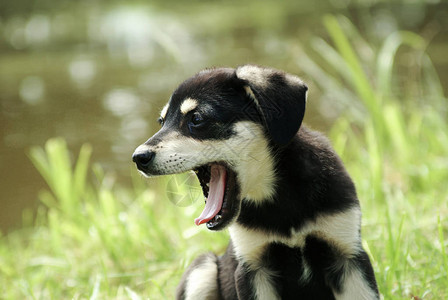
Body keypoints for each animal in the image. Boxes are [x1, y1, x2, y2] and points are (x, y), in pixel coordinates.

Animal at [132, 66, 378, 300]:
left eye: (197, 119)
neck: (280, 195)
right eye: (162, 122)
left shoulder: (349, 257)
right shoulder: (253, 268)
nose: (138, 158)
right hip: (202, 269)